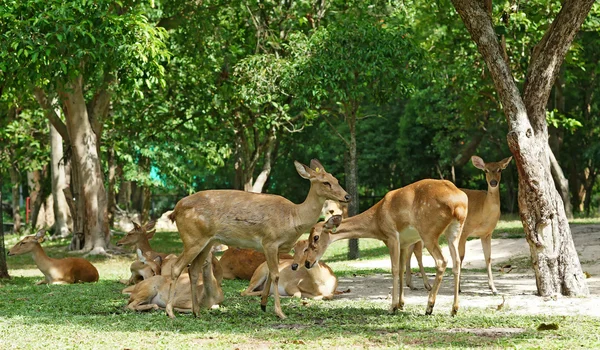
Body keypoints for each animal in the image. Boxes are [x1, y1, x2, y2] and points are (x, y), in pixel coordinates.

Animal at [166, 160, 350, 318]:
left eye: (336, 179)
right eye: (326, 182)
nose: (347, 196)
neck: (293, 217)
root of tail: (175, 211)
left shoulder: (276, 248)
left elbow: (270, 275)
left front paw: (263, 305)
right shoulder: (270, 241)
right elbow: (275, 275)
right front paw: (280, 312)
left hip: (206, 242)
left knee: (193, 270)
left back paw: (196, 312)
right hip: (193, 239)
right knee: (176, 267)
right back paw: (170, 312)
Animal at [302, 179, 466, 316]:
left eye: (315, 237)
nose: (308, 263)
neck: (376, 222)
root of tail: (459, 203)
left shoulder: (391, 236)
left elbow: (394, 269)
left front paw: (392, 307)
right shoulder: (405, 242)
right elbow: (401, 269)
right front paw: (401, 304)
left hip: (428, 231)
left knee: (442, 261)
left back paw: (429, 307)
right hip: (455, 231)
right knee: (457, 262)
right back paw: (454, 309)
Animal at [404, 154, 510, 294]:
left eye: (500, 170)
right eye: (486, 170)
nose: (493, 182)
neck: (483, 211)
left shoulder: (487, 233)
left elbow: (488, 258)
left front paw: (493, 288)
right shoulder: (464, 231)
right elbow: (461, 257)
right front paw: (459, 288)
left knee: (410, 249)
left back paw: (412, 284)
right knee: (417, 251)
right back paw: (426, 285)